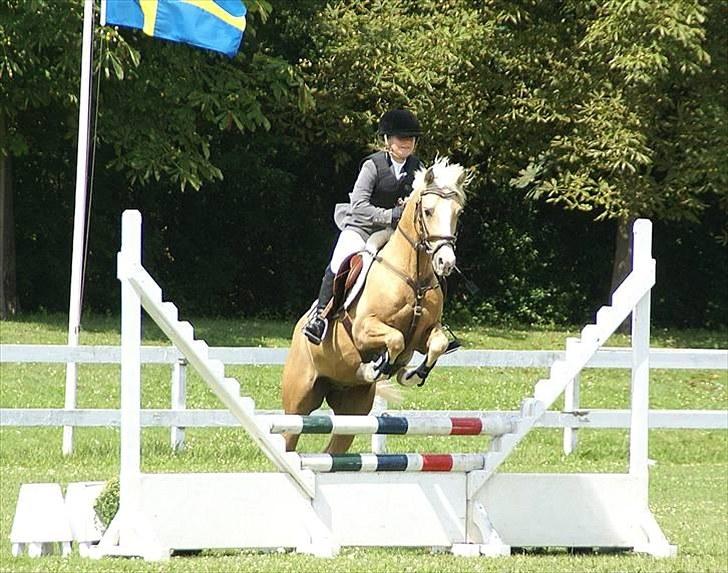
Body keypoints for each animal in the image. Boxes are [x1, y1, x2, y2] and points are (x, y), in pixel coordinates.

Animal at [282, 156, 470, 452]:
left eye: (458, 213)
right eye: (428, 211)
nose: (446, 263)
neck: (413, 277)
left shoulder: (424, 335)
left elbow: (437, 344)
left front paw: (411, 374)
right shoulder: (363, 329)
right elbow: (395, 339)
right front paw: (374, 367)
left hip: (353, 409)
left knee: (334, 448)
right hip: (298, 400)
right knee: (288, 439)